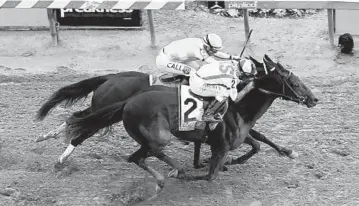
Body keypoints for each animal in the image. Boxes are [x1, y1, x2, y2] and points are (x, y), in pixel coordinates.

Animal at [63, 54, 320, 195]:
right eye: (295, 83)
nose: (314, 99)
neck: (238, 106)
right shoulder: (220, 146)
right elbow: (210, 175)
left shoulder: (231, 137)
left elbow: (257, 144)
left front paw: (285, 151)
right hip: (158, 136)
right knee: (135, 152)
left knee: (137, 154)